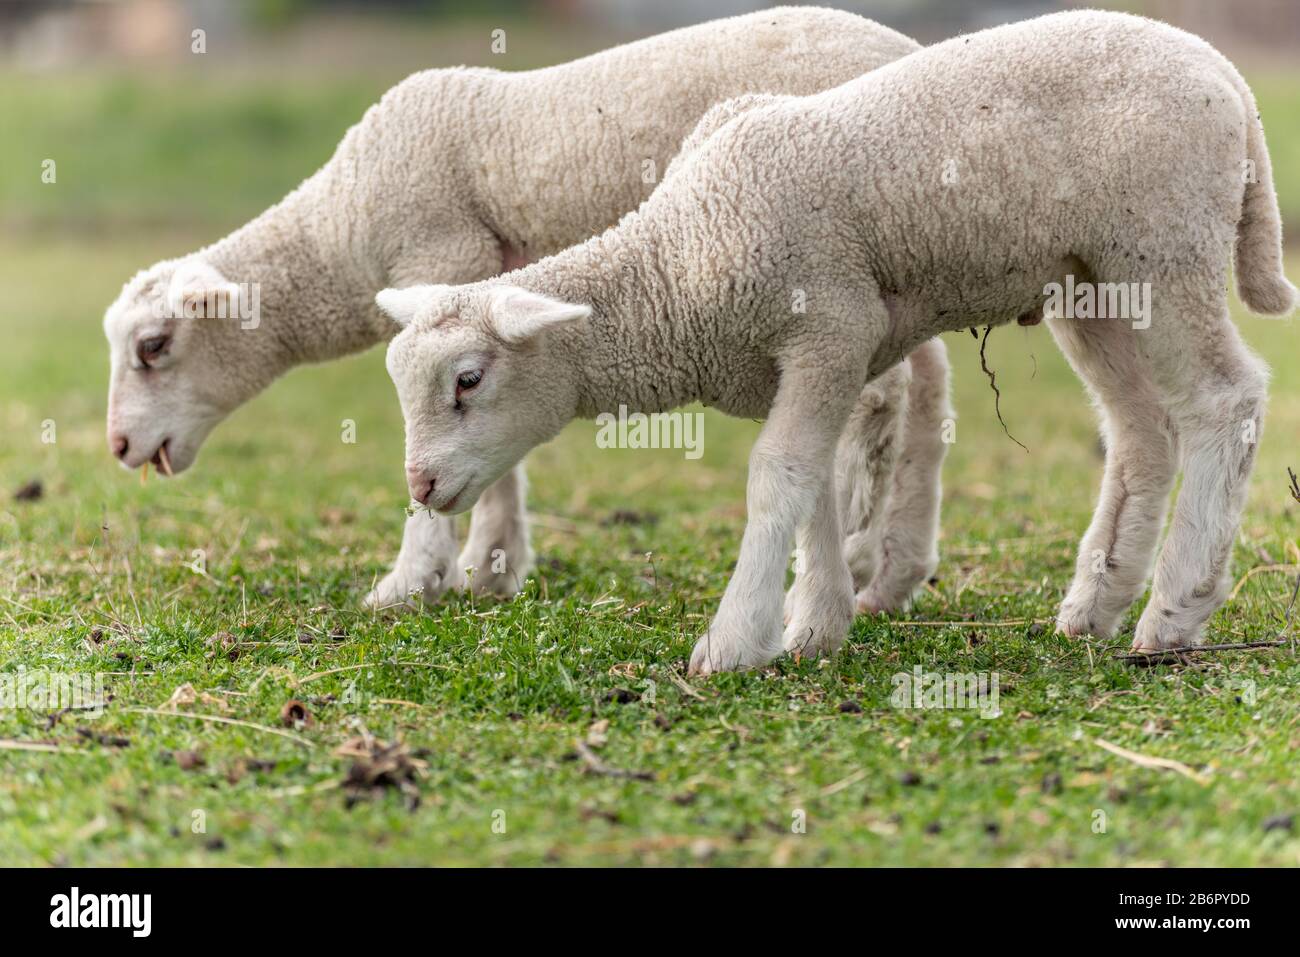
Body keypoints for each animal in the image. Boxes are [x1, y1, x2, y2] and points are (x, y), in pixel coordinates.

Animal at [101, 5, 951, 613]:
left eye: (154, 345)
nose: (117, 446)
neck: (340, 232)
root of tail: (905, 46)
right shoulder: (494, 294)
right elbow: (495, 440)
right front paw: (492, 566)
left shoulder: (441, 253)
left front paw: (414, 579)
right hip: (912, 264)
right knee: (930, 397)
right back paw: (896, 569)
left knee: (879, 396)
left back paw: (851, 550)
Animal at [379, 11, 1294, 676]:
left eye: (467, 379)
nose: (420, 484)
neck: (678, 259)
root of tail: (1232, 81)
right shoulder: (795, 365)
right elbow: (812, 479)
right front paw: (816, 625)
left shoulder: (829, 327)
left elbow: (777, 476)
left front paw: (733, 641)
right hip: (1091, 282)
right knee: (1141, 431)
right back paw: (1094, 605)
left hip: (1164, 245)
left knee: (1225, 400)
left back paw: (1174, 612)